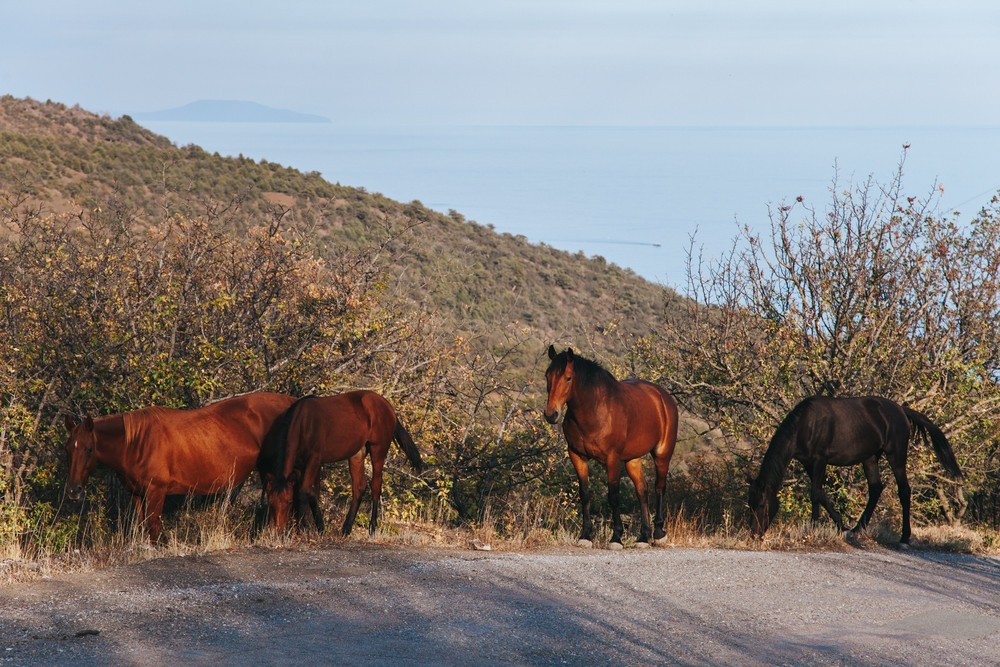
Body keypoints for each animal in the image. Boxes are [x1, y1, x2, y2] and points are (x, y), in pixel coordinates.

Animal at [63, 392, 292, 544]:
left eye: (89, 449)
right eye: (68, 449)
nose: (74, 491)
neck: (136, 442)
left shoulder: (156, 491)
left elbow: (152, 527)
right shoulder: (137, 494)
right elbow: (142, 525)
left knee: (280, 501)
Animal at [258, 392, 422, 536]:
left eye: (288, 502)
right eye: (271, 503)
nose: (277, 531)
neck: (303, 424)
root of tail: (387, 405)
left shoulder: (314, 460)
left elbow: (303, 492)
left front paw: (302, 529)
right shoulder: (300, 466)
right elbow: (311, 493)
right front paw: (319, 528)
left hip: (378, 450)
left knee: (376, 486)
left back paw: (372, 529)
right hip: (357, 454)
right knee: (359, 487)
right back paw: (346, 528)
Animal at [548, 344, 680, 548]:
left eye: (568, 378)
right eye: (547, 375)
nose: (551, 415)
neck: (595, 410)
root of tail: (663, 397)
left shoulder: (612, 459)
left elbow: (613, 496)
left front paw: (616, 538)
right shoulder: (577, 455)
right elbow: (584, 493)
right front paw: (585, 536)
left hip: (662, 453)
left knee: (659, 487)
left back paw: (658, 533)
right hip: (633, 459)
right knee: (642, 490)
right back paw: (644, 536)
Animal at [748, 396, 964, 544]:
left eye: (762, 504)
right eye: (750, 504)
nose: (755, 534)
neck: (805, 425)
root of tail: (901, 410)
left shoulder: (820, 460)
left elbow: (816, 493)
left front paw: (818, 526)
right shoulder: (809, 463)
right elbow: (820, 495)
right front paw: (836, 525)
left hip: (896, 455)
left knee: (904, 490)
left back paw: (904, 537)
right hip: (870, 457)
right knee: (876, 488)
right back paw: (858, 528)